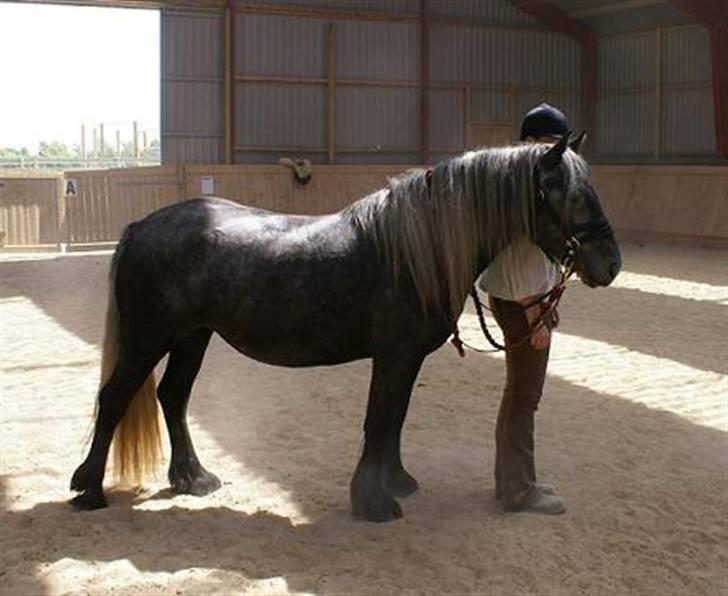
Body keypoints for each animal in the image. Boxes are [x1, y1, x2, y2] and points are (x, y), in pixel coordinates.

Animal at [70, 133, 621, 522]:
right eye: (572, 196)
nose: (611, 264)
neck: (414, 249)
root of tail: (141, 226)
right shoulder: (394, 356)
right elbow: (378, 421)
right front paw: (373, 503)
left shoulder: (405, 360)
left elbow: (393, 421)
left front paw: (396, 483)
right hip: (150, 337)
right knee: (115, 397)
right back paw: (89, 490)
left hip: (192, 337)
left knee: (173, 396)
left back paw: (193, 478)